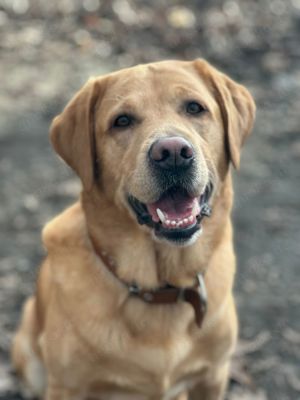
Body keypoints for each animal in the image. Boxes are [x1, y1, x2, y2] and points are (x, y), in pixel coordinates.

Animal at [12, 59, 255, 400]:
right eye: (122, 121)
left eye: (195, 107)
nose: (172, 153)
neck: (160, 287)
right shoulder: (66, 386)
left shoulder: (212, 376)